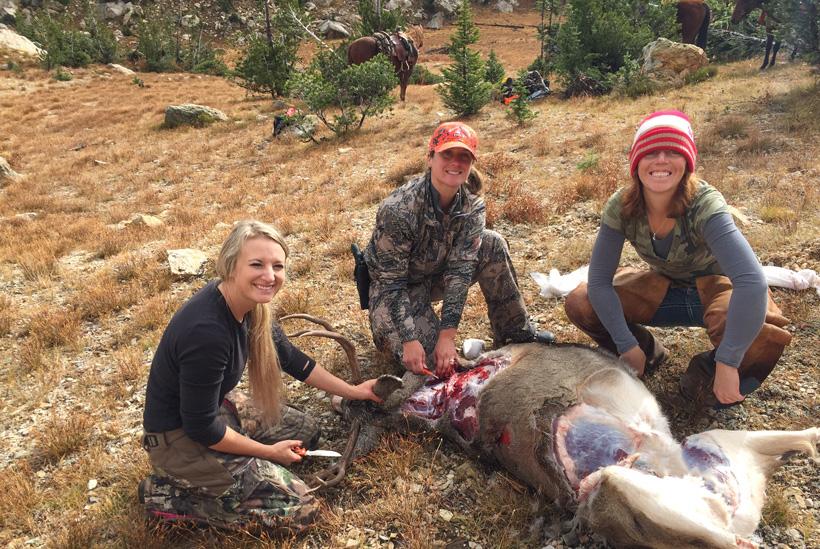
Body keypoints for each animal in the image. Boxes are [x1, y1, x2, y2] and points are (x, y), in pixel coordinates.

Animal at [284, 315, 818, 548]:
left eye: (368, 415)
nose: (348, 405)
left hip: (717, 446)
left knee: (799, 439)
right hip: (623, 486)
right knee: (734, 538)